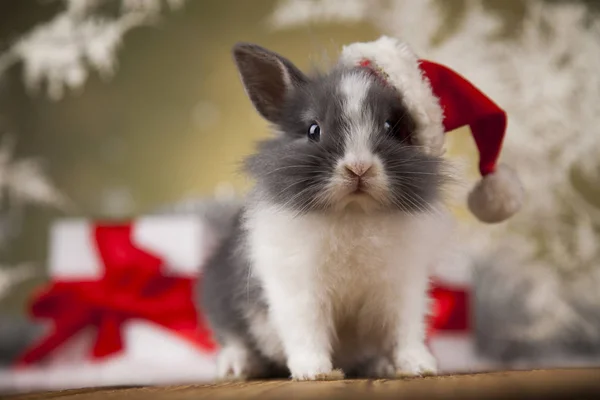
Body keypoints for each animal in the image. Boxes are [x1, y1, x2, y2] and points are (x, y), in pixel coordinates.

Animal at [198, 41, 454, 382]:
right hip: (222, 299)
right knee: (235, 339)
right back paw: (236, 367)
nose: (359, 168)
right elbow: (307, 331)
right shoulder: (297, 288)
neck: (353, 212)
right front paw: (314, 372)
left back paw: (380, 365)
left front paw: (419, 366)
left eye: (391, 128)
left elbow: (406, 330)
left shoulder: (404, 287)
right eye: (313, 130)